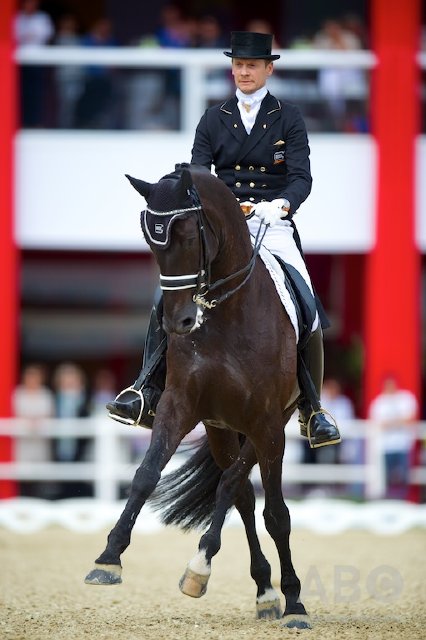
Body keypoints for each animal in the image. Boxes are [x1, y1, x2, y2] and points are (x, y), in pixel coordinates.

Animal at [85, 164, 312, 632]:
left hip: (268, 431)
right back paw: (265, 593)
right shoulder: (181, 405)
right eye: (150, 241)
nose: (180, 323)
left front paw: (198, 569)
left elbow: (240, 491)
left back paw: (293, 602)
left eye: (190, 235)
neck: (228, 312)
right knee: (246, 502)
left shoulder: (266, 423)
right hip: (221, 430)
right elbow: (146, 474)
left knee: (272, 511)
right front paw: (109, 557)